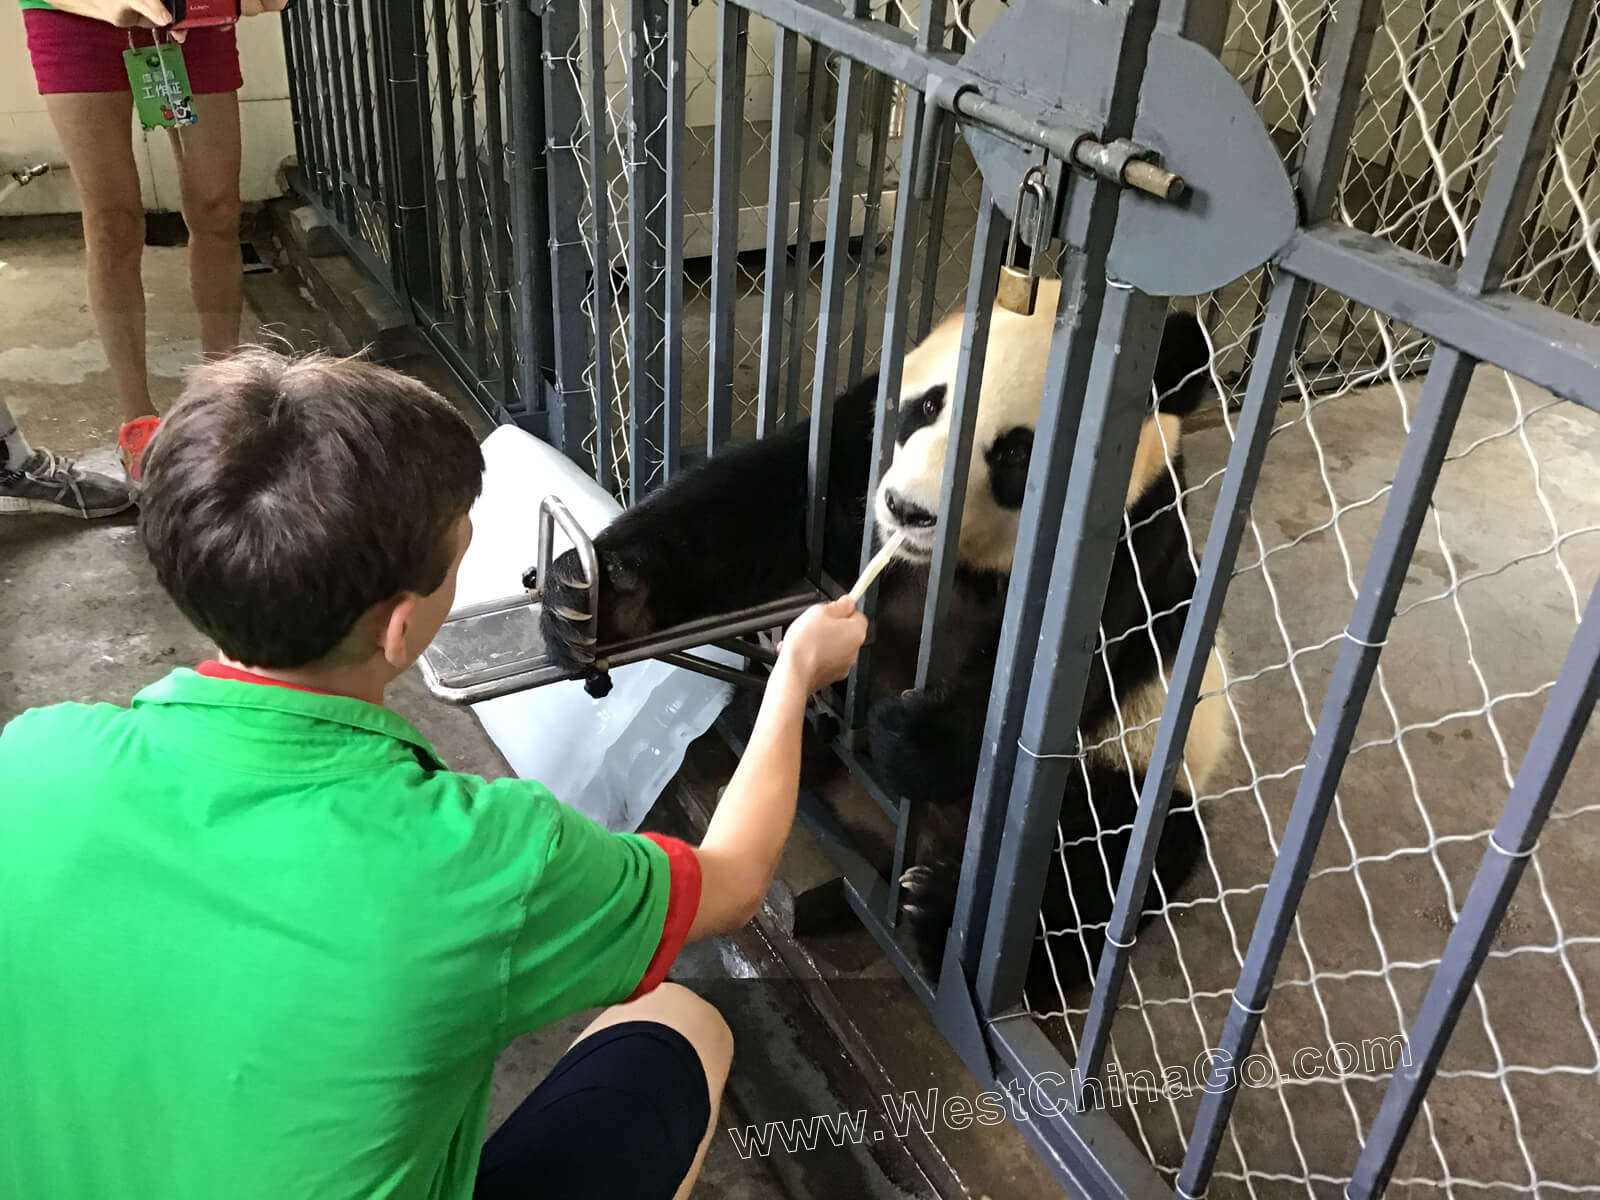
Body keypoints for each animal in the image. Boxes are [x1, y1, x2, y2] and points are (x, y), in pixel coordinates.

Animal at [544, 280, 1228, 998]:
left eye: (1016, 452)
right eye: (929, 405)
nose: (907, 509)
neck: (959, 560)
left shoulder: (1133, 543)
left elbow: (1058, 676)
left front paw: (912, 736)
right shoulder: (861, 434)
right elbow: (766, 496)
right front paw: (601, 596)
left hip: (1136, 761)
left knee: (1107, 856)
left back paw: (935, 913)